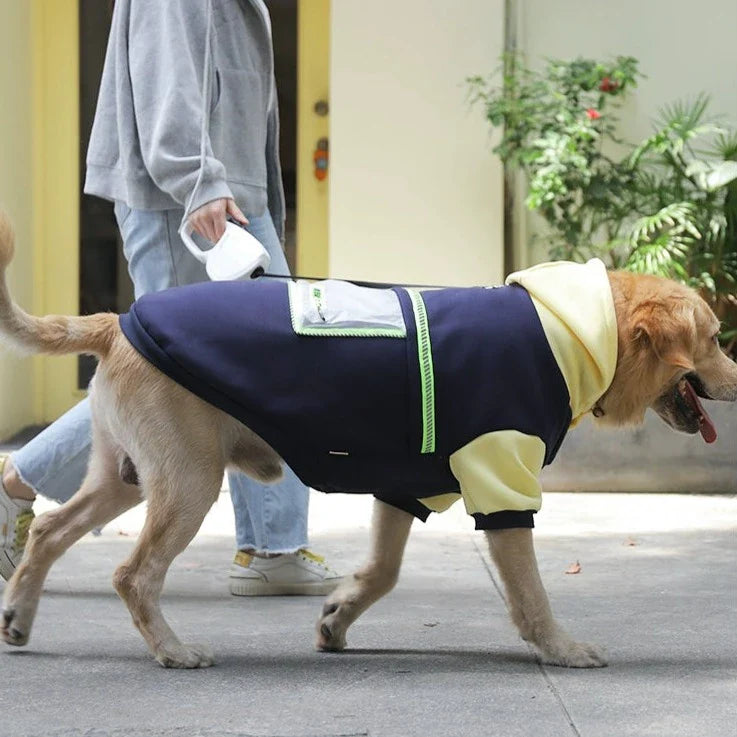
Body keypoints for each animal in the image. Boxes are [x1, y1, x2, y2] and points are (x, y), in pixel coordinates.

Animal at [0, 210, 732, 668]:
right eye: (715, 337)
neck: (570, 331)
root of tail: (118, 322)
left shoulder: (406, 486)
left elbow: (382, 570)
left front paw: (338, 616)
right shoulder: (500, 478)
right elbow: (529, 594)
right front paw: (560, 646)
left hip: (124, 475)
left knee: (51, 531)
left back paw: (19, 613)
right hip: (187, 481)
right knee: (133, 573)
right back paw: (172, 649)